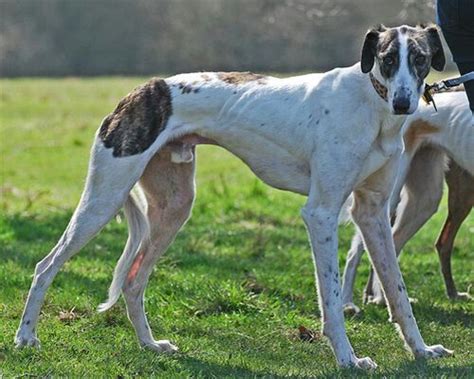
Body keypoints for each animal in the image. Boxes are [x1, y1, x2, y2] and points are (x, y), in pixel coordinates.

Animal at [13, 25, 452, 370]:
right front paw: (348, 359)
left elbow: (398, 292)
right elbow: (329, 297)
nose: (404, 103)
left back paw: (150, 344)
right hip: (102, 199)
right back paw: (26, 338)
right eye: (387, 58)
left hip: (174, 207)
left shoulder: (373, 212)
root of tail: (138, 91)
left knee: (134, 281)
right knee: (46, 266)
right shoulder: (321, 212)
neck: (372, 106)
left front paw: (422, 350)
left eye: (420, 58)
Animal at [342, 90, 472, 312]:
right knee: (355, 253)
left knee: (394, 244)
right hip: (389, 198)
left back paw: (382, 299)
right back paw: (348, 302)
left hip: (426, 198)